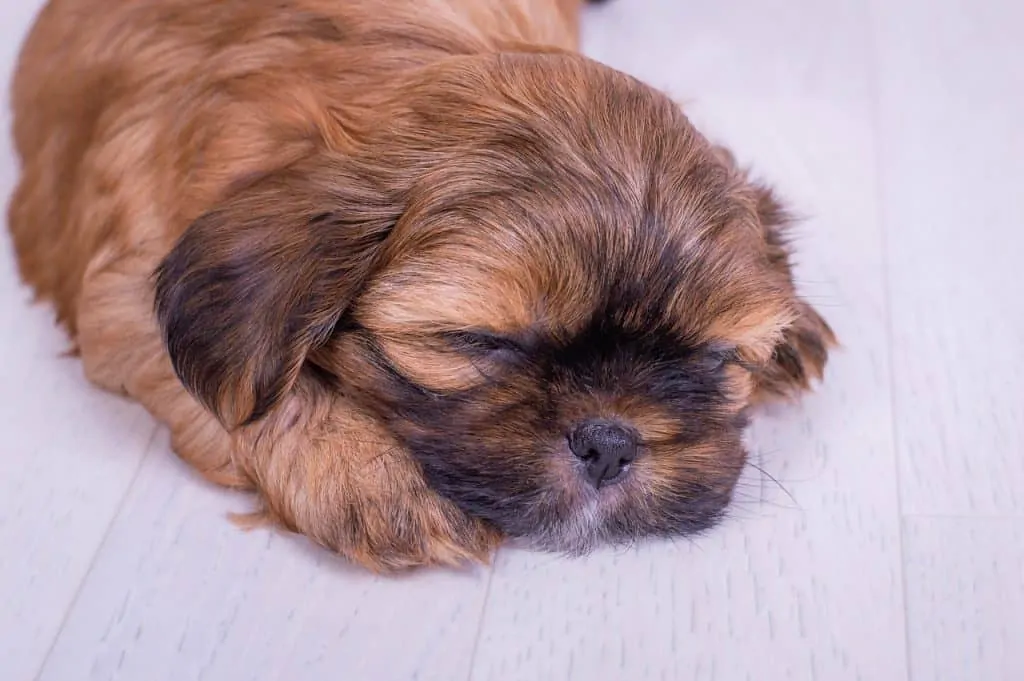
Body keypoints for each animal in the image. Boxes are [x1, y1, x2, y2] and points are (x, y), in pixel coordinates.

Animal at [8, 0, 831, 569]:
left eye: (715, 359)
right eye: (475, 341)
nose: (610, 443)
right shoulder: (124, 296)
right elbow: (242, 395)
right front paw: (368, 479)